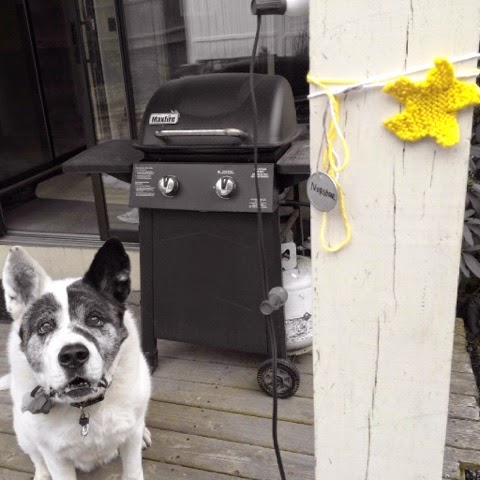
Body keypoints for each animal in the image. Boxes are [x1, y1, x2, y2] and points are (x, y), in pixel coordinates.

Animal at [1, 238, 151, 480]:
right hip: (24, 434)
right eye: (45, 326)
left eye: (95, 319)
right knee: (36, 458)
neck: (84, 409)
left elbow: (133, 471)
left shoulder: (130, 440)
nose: (72, 356)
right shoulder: (55, 457)